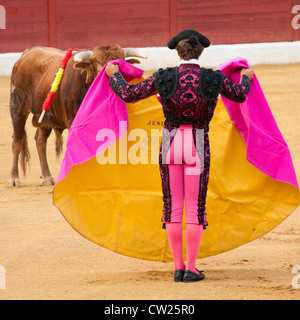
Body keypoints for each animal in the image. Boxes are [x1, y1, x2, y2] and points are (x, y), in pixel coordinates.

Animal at [8, 43, 146, 186]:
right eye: (99, 68)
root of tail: (26, 52)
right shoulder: (72, 121)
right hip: (18, 107)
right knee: (17, 140)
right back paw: (14, 179)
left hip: (46, 116)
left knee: (41, 140)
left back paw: (47, 176)